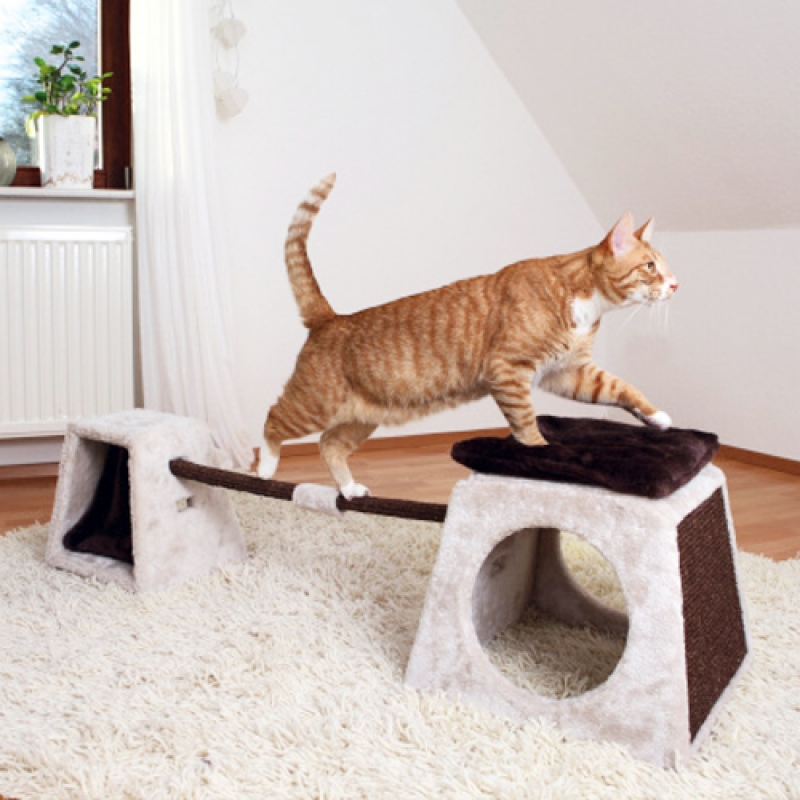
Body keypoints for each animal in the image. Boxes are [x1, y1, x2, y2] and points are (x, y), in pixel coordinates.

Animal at [258, 174, 678, 499]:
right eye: (650, 267)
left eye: (663, 266)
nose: (676, 284)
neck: (583, 303)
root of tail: (330, 319)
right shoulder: (509, 370)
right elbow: (527, 424)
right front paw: (542, 457)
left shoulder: (569, 372)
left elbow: (620, 387)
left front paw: (657, 416)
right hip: (314, 404)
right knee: (272, 419)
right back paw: (264, 468)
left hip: (362, 418)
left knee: (328, 444)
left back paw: (348, 489)